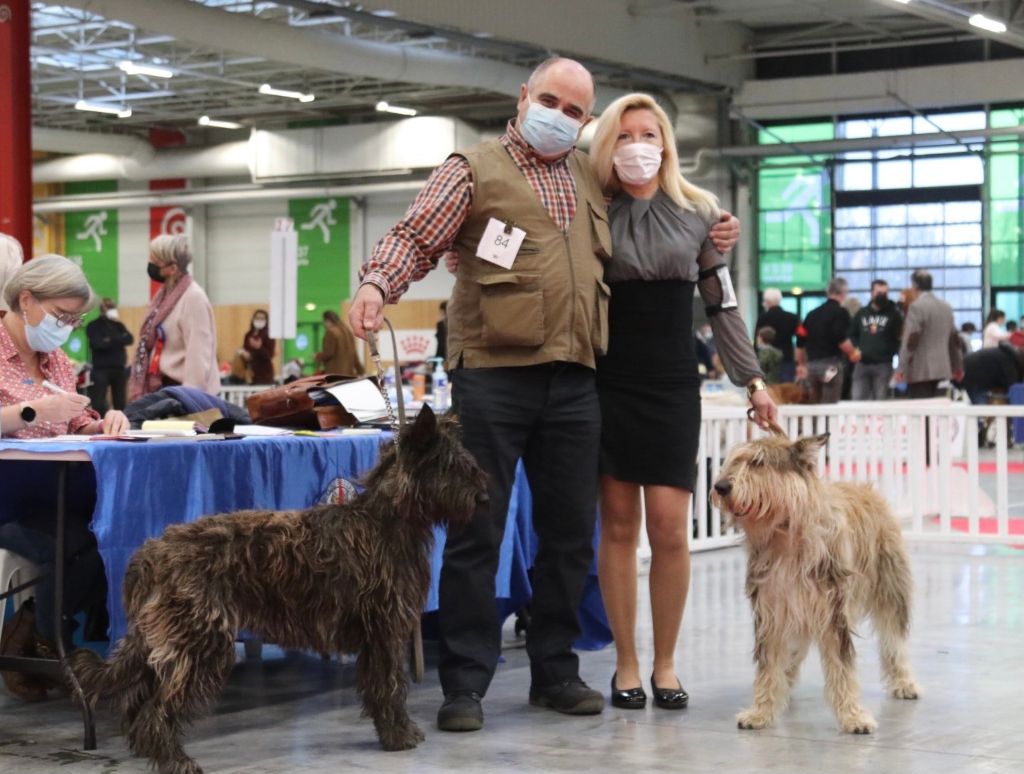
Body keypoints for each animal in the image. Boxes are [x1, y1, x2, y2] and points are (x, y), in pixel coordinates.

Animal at [72, 405, 487, 774]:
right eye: (450, 466)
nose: (484, 497)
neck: (385, 520)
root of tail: (152, 553)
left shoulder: (378, 636)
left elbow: (381, 686)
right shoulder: (384, 633)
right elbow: (389, 686)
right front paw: (398, 736)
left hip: (164, 644)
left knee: (136, 702)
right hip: (198, 644)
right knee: (156, 710)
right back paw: (176, 760)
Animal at [712, 432, 921, 733]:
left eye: (758, 463)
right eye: (732, 461)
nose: (720, 486)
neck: (786, 536)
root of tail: (867, 490)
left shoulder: (834, 613)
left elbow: (843, 668)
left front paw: (853, 716)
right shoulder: (773, 612)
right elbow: (768, 665)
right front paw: (761, 711)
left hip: (890, 591)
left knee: (894, 641)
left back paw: (904, 682)